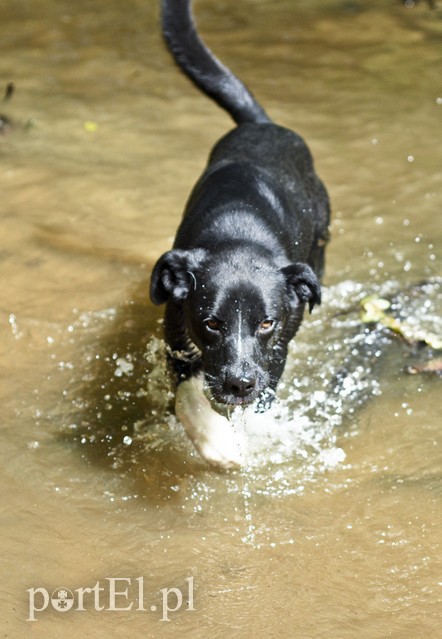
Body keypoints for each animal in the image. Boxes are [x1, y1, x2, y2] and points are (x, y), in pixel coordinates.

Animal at [150, 0, 330, 470]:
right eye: (211, 323)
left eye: (267, 322)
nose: (239, 384)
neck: (238, 236)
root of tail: (264, 123)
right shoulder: (178, 343)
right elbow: (189, 400)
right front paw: (220, 446)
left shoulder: (275, 355)